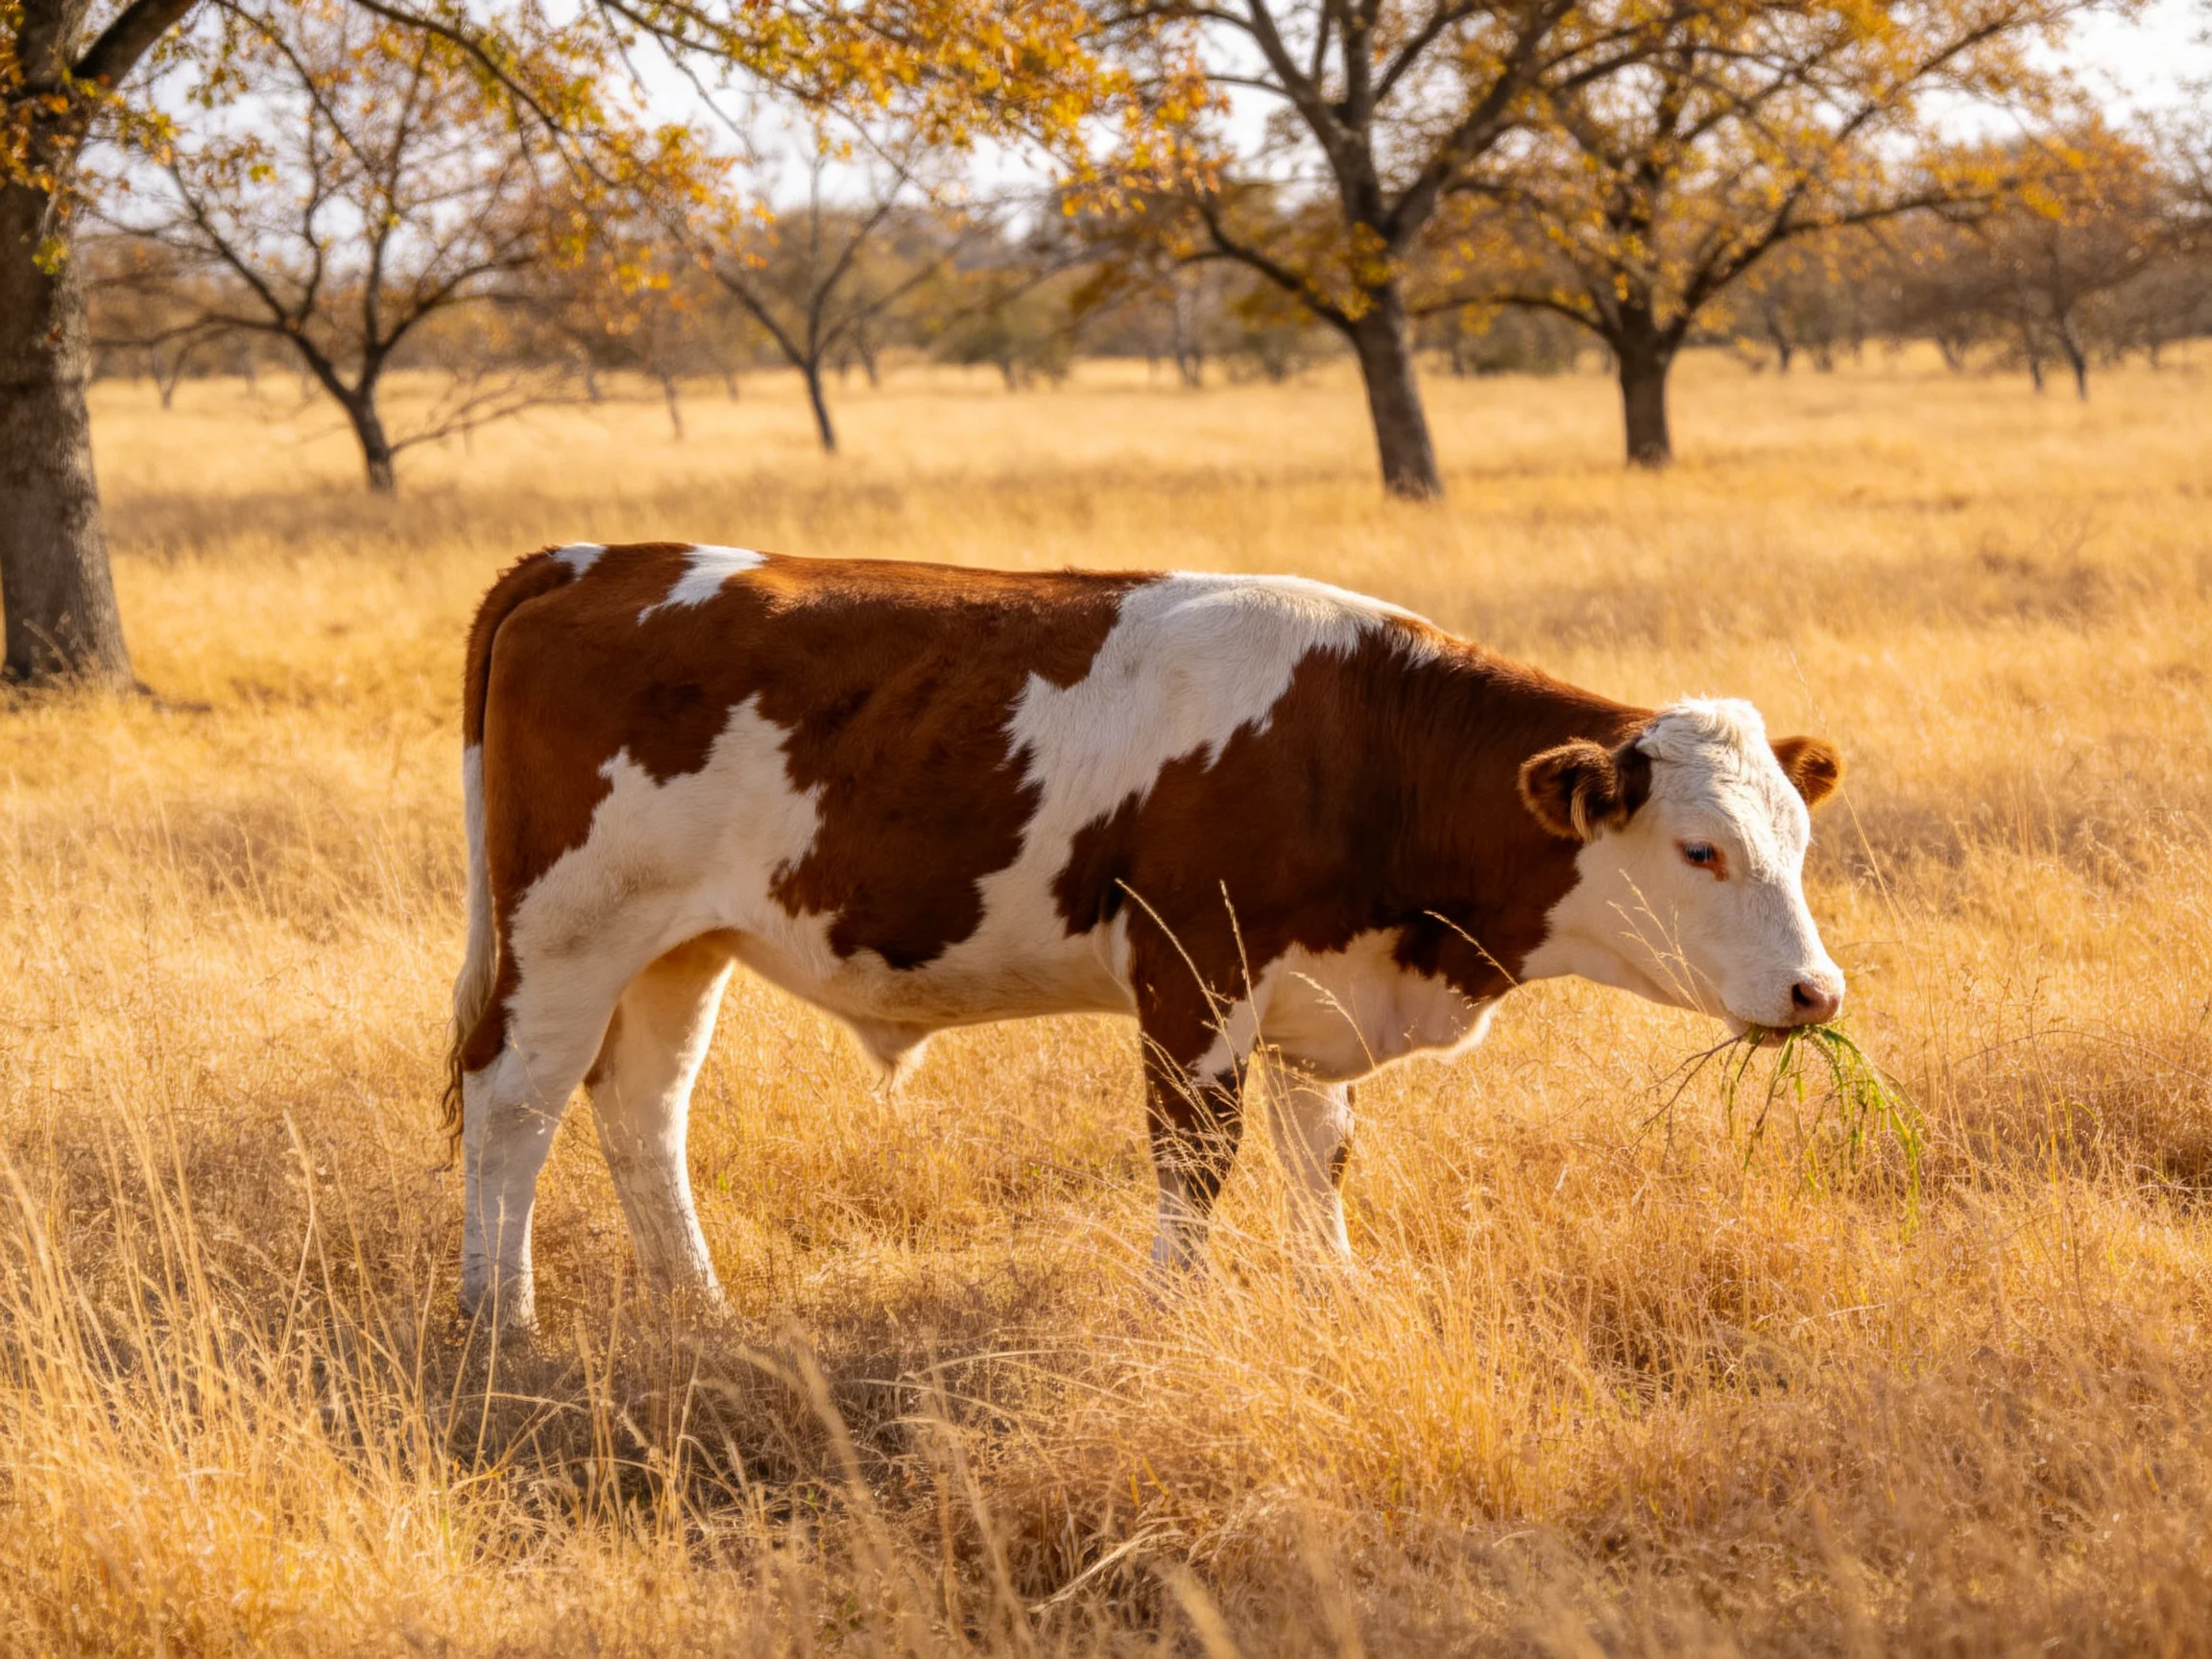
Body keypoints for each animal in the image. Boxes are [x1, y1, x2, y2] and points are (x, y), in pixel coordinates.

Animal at [448, 542, 1845, 1327]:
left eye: (1800, 841)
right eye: (1700, 851)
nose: (1816, 993)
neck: (1359, 745)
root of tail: (594, 557)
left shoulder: (1311, 989)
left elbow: (1317, 1152)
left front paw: (1333, 1296)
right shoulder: (1194, 974)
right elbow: (1198, 1163)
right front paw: (1174, 1318)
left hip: (678, 946)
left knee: (642, 1107)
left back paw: (699, 1311)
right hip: (568, 931)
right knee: (513, 1104)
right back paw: (499, 1324)